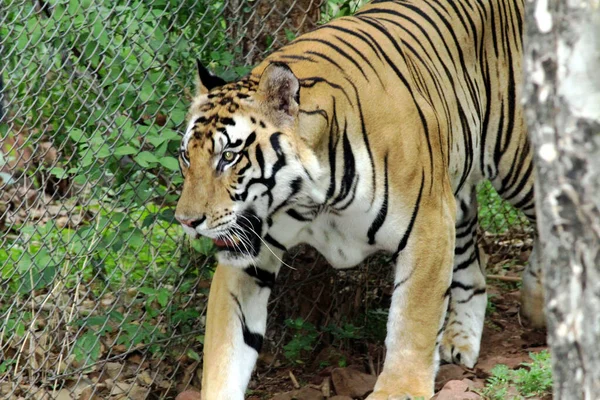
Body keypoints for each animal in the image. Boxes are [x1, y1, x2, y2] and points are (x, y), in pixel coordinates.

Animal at [172, 0, 540, 398]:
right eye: (186, 156)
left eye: (228, 157)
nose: (186, 221)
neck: (312, 199)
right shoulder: (247, 259)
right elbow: (227, 349)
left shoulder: (427, 228)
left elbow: (413, 323)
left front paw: (400, 389)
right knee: (473, 257)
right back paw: (462, 338)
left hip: (516, 164)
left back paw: (538, 301)